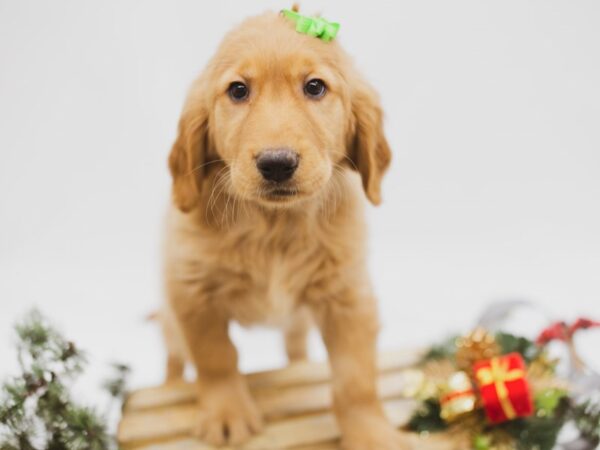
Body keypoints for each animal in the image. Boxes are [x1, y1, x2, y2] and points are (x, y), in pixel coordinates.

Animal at [162, 8, 406, 448]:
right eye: (238, 90)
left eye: (315, 87)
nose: (277, 163)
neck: (273, 226)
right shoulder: (191, 291)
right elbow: (215, 356)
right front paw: (227, 413)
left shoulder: (349, 297)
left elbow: (356, 379)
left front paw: (371, 433)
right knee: (174, 355)